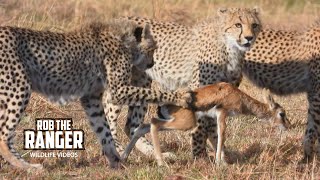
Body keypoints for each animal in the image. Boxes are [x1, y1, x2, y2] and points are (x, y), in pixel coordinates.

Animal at [0, 20, 192, 169]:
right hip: (19, 88)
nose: (151, 63)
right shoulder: (117, 91)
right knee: (4, 136)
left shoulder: (90, 97)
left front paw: (116, 160)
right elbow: (153, 92)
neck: (124, 40)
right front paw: (181, 97)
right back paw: (27, 167)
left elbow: (103, 128)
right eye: (152, 48)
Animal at [104, 7, 260, 158]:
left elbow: (214, 126)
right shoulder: (199, 91)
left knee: (132, 125)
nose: (249, 38)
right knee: (109, 117)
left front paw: (222, 154)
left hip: (142, 82)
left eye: (254, 25)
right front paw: (199, 155)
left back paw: (153, 152)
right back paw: (117, 151)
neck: (231, 48)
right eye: (238, 24)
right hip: (119, 83)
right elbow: (201, 126)